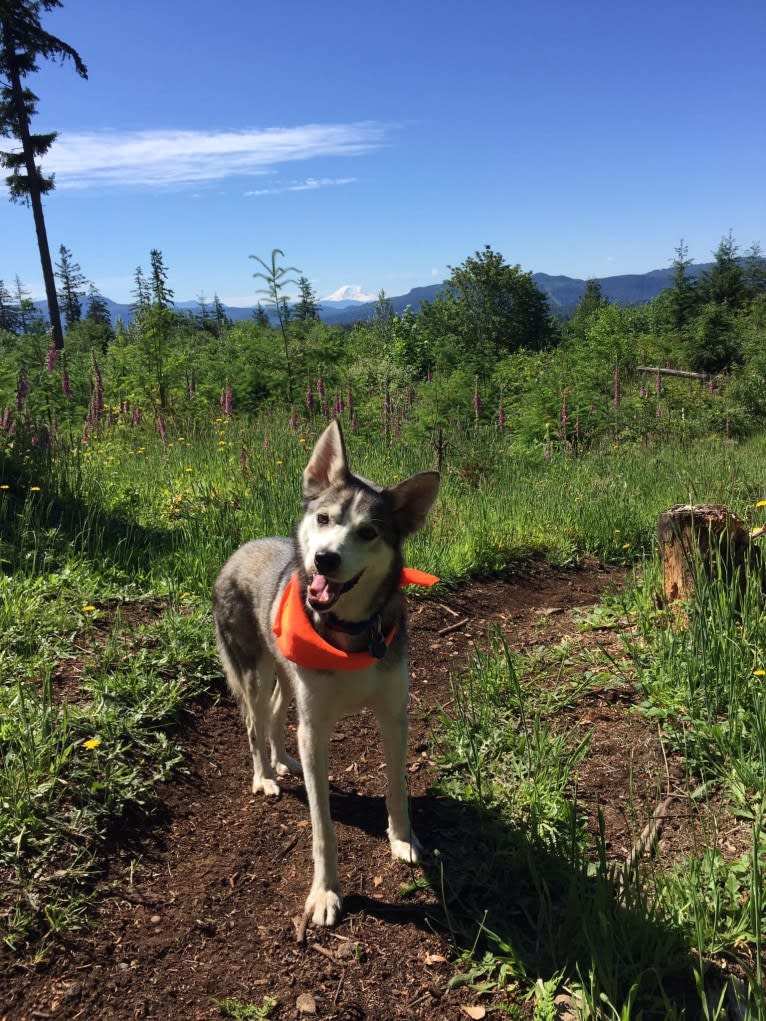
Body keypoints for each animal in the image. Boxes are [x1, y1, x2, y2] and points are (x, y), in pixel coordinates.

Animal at [213, 418, 441, 931]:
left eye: (369, 532)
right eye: (324, 519)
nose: (325, 560)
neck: (351, 634)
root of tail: (241, 548)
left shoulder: (393, 716)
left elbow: (397, 790)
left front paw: (403, 841)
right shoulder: (316, 727)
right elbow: (323, 828)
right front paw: (325, 894)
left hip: (284, 678)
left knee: (276, 718)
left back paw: (282, 760)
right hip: (255, 674)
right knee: (255, 723)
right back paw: (265, 776)